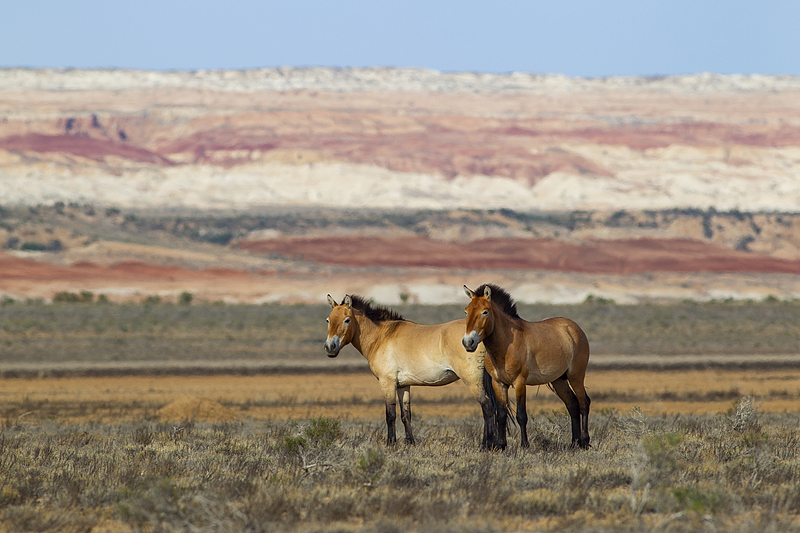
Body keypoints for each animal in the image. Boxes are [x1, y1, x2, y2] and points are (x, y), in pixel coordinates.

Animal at [324, 294, 502, 449]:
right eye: (328, 320)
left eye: (347, 320)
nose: (329, 347)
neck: (382, 336)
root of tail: (479, 336)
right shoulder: (403, 386)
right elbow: (406, 415)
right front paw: (410, 443)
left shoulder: (387, 383)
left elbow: (390, 414)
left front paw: (391, 444)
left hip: (473, 381)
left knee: (487, 407)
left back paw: (486, 446)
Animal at [462, 284, 591, 450]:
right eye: (466, 311)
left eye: (485, 311)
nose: (468, 342)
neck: (506, 345)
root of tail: (575, 328)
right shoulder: (498, 384)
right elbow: (501, 415)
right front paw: (501, 445)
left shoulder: (519, 382)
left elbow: (521, 415)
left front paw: (524, 445)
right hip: (559, 380)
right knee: (572, 404)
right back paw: (574, 443)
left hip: (576, 376)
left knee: (584, 403)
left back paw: (585, 441)